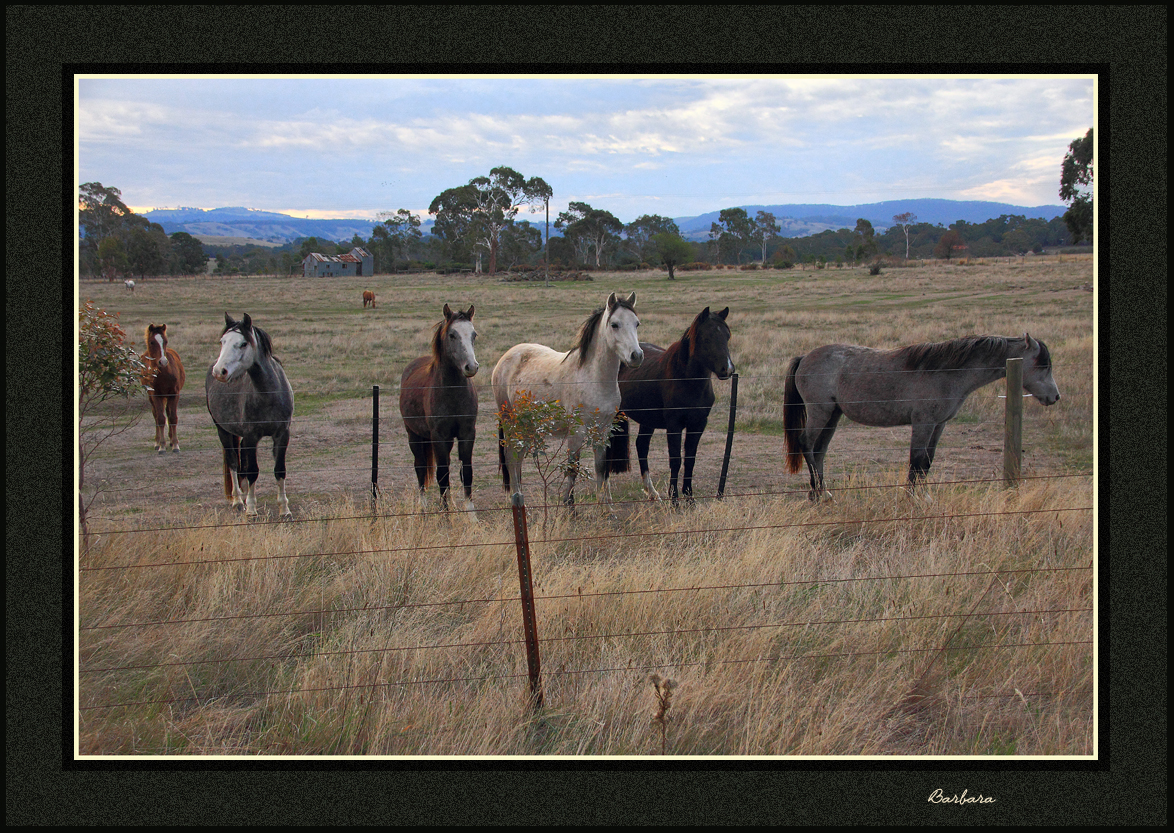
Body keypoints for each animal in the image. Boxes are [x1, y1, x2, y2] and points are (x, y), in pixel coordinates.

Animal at [140, 323, 186, 452]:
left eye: (165, 341)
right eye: (152, 342)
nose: (163, 362)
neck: (164, 373)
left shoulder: (174, 394)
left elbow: (172, 417)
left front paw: (175, 445)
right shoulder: (156, 395)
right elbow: (160, 418)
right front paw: (161, 446)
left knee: (168, 413)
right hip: (151, 396)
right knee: (156, 415)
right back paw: (157, 442)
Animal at [204, 314, 293, 518]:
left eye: (243, 343)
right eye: (222, 341)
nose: (219, 371)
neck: (269, 394)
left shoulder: (282, 434)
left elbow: (280, 470)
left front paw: (284, 509)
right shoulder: (252, 436)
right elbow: (252, 471)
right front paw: (251, 509)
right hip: (223, 430)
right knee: (233, 462)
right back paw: (238, 501)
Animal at [493, 293, 648, 509]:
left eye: (637, 323)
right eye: (615, 324)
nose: (636, 356)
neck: (594, 378)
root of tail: (505, 358)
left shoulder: (602, 430)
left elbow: (601, 468)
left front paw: (606, 508)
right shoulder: (577, 431)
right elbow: (573, 467)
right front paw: (569, 506)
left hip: (527, 426)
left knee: (518, 458)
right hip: (511, 423)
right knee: (511, 458)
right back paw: (517, 500)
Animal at [605, 305, 732, 502]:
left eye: (727, 336)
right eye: (707, 338)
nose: (728, 369)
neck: (687, 380)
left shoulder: (698, 424)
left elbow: (690, 459)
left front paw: (689, 498)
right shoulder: (674, 425)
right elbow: (675, 460)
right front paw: (674, 499)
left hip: (647, 420)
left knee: (641, 446)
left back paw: (651, 492)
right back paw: (606, 492)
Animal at [779, 335, 1065, 502]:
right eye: (1042, 364)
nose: (1055, 396)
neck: (946, 371)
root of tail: (805, 357)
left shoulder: (939, 424)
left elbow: (927, 461)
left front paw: (923, 495)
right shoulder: (923, 423)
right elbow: (915, 460)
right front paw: (911, 497)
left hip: (833, 415)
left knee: (819, 450)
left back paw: (822, 491)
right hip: (820, 412)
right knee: (807, 444)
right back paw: (817, 493)